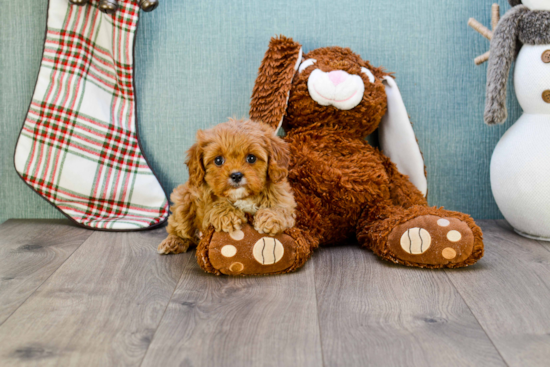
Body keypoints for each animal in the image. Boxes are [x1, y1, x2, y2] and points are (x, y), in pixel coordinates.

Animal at [158, 119, 298, 254]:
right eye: (218, 160)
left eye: (251, 158)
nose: (236, 175)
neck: (242, 196)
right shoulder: (200, 195)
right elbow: (214, 204)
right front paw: (228, 215)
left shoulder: (282, 195)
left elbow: (281, 207)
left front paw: (270, 218)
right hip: (183, 201)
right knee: (180, 228)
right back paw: (174, 241)